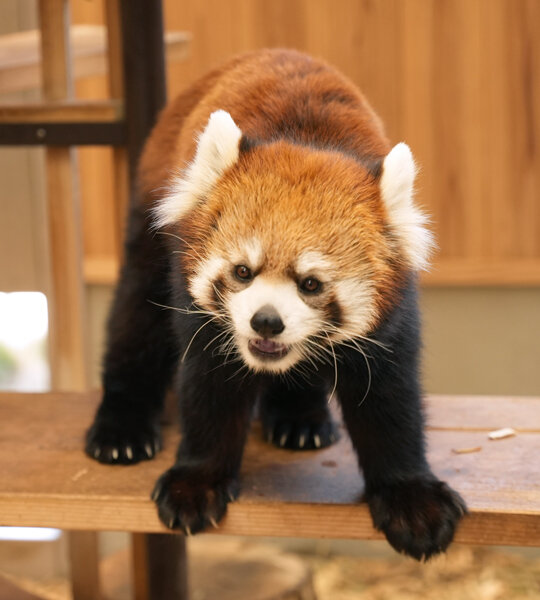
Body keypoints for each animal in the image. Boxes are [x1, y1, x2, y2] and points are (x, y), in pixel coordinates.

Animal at [85, 49, 464, 560]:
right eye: (243, 271)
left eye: (311, 283)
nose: (266, 322)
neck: (310, 140)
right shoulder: (200, 308)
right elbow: (209, 386)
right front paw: (197, 483)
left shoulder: (394, 314)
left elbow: (390, 398)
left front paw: (412, 499)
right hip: (152, 222)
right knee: (135, 315)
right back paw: (121, 428)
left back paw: (300, 417)